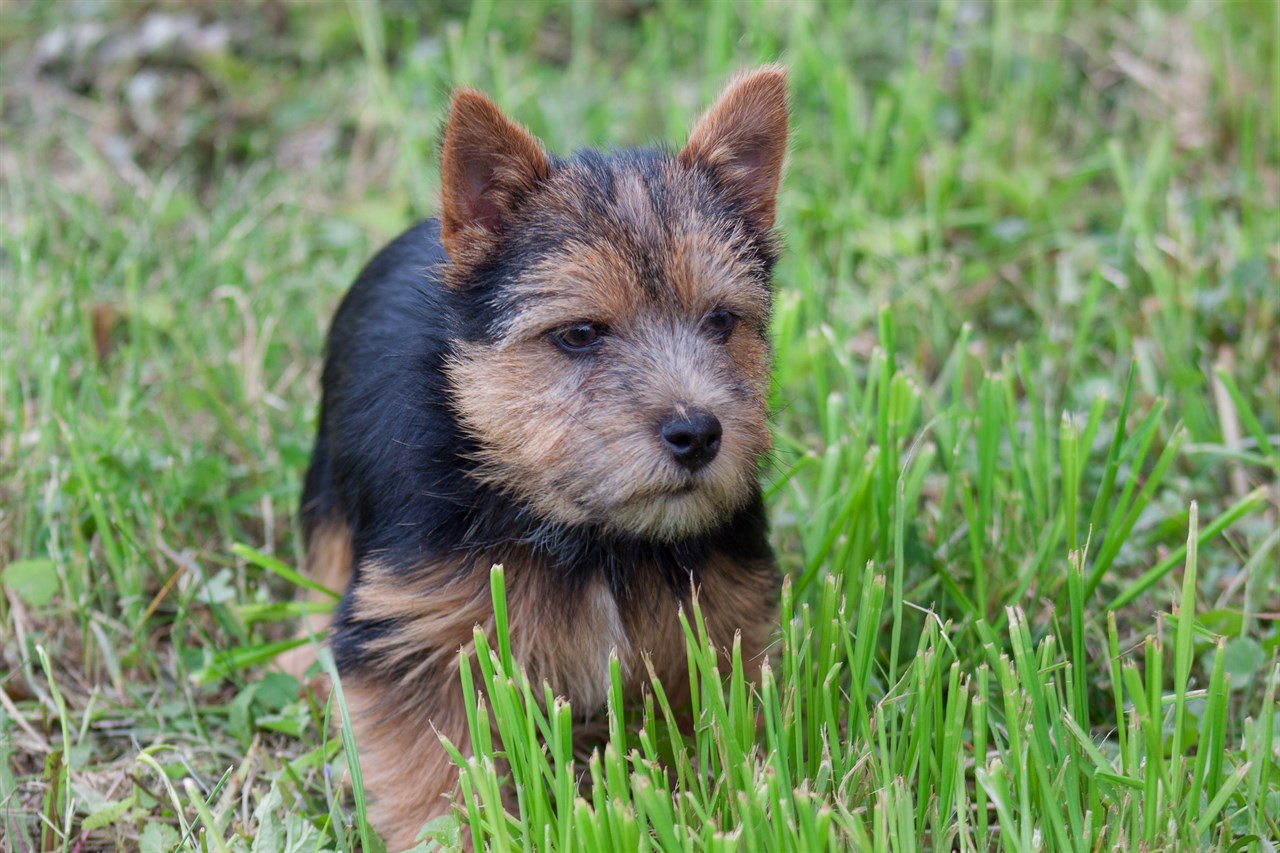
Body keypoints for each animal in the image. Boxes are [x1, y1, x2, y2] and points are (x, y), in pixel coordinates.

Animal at [293, 64, 788, 845]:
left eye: (720, 321)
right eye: (579, 334)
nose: (699, 434)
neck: (593, 537)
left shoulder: (718, 613)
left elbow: (709, 723)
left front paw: (726, 801)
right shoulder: (416, 632)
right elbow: (431, 767)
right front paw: (451, 834)